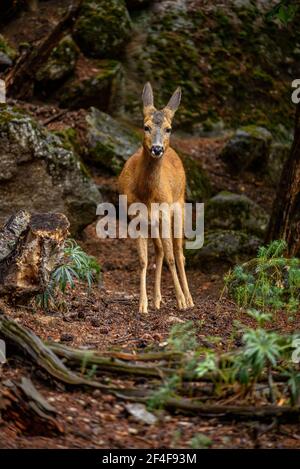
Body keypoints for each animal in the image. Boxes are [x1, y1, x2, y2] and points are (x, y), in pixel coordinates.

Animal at [118, 82, 193, 312]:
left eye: (169, 128)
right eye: (146, 127)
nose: (157, 149)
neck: (148, 194)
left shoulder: (166, 212)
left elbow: (171, 256)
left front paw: (181, 301)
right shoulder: (136, 217)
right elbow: (143, 260)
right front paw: (143, 304)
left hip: (179, 207)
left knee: (178, 252)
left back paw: (189, 299)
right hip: (153, 223)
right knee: (159, 250)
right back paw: (157, 299)